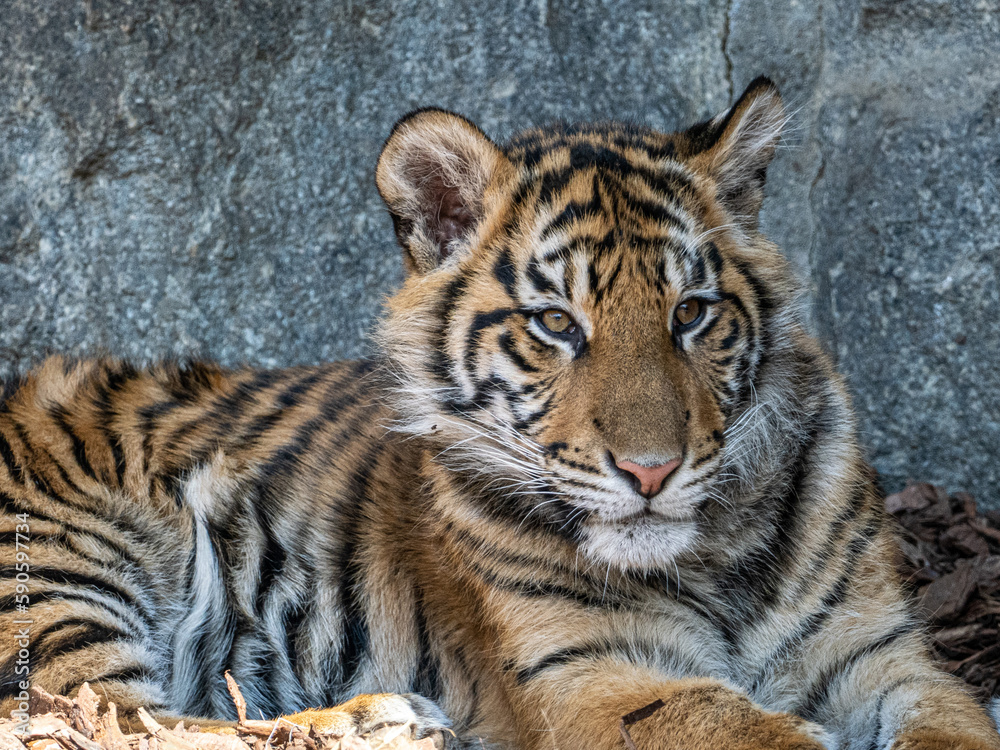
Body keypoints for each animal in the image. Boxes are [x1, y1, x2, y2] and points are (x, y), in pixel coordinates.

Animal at [2, 76, 998, 750]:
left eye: (690, 314)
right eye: (556, 323)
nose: (651, 473)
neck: (716, 557)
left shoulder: (881, 652)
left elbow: (955, 725)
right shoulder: (589, 675)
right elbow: (735, 721)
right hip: (71, 565)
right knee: (121, 719)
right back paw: (383, 718)